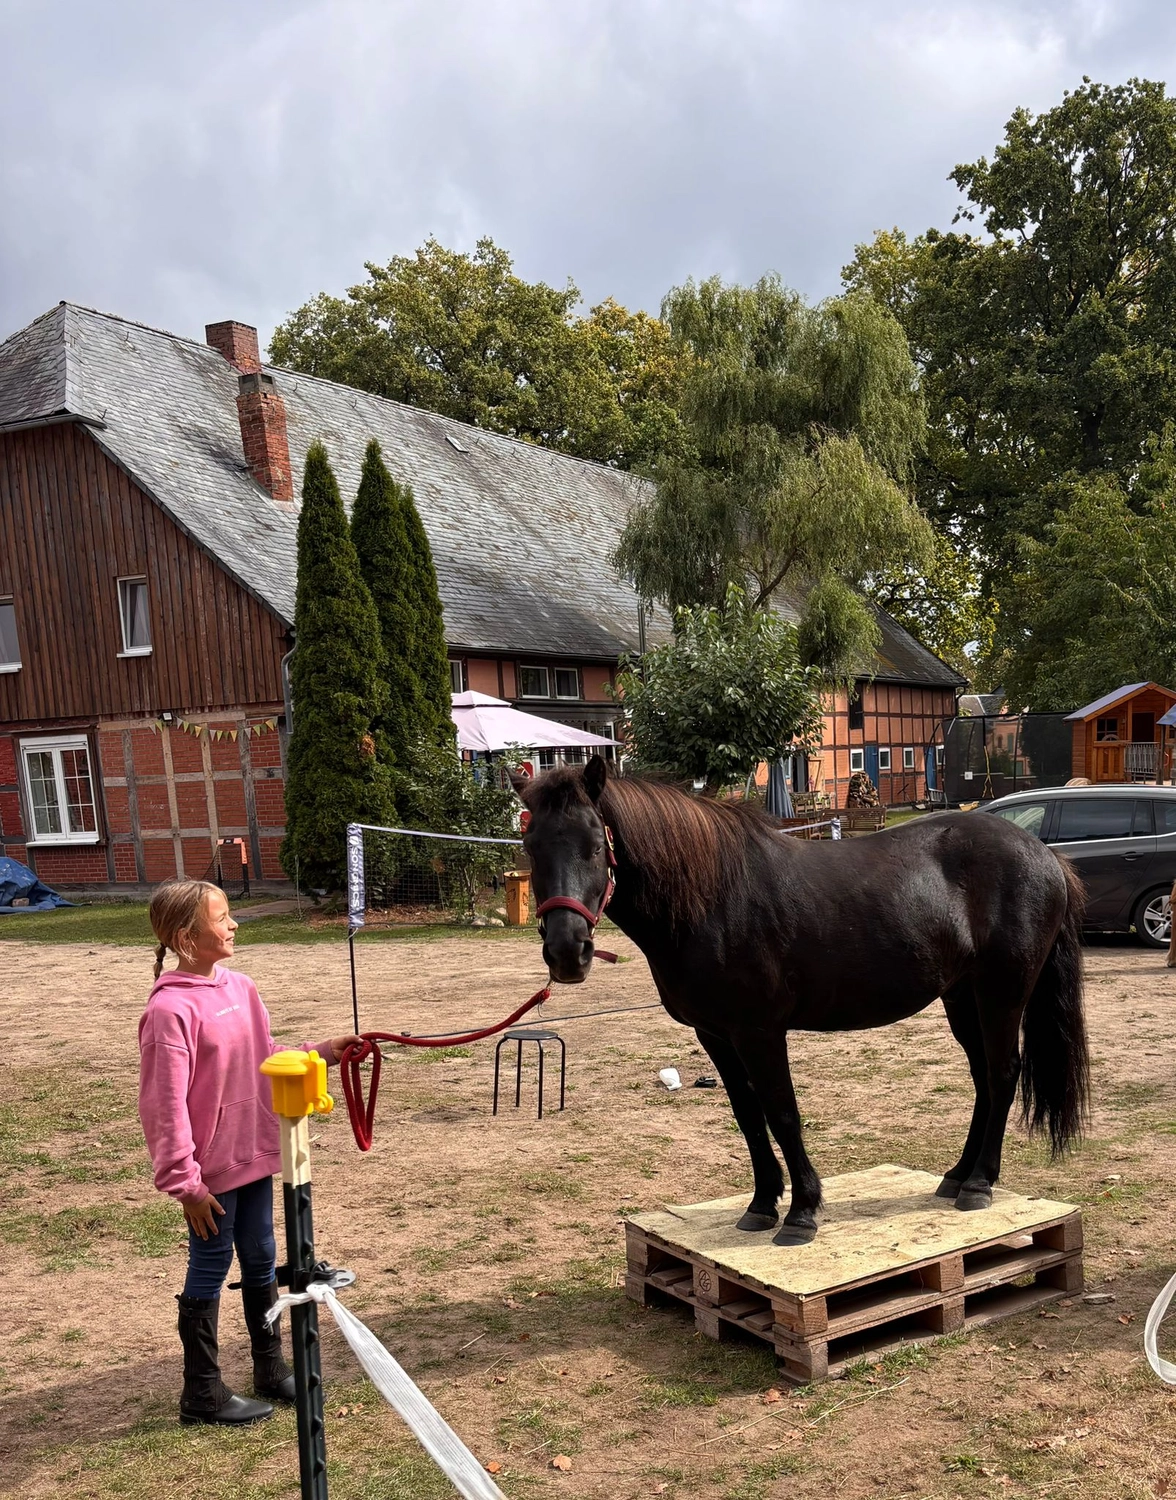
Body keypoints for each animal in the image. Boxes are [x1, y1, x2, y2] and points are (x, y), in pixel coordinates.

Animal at [513, 757, 1089, 1245]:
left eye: (594, 845)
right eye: (531, 846)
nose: (567, 952)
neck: (711, 897)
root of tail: (1045, 854)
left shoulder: (759, 1032)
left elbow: (782, 1112)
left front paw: (802, 1212)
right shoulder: (715, 1033)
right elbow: (747, 1114)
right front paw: (761, 1204)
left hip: (1001, 994)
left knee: (1003, 1074)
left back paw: (979, 1184)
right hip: (961, 999)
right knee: (983, 1080)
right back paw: (956, 1176)